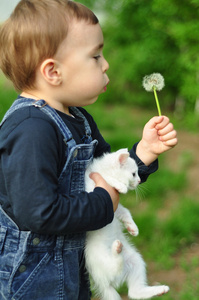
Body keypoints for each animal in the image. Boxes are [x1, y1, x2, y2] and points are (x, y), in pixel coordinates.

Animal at [84, 149, 170, 300]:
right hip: (102, 260)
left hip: (135, 261)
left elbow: (126, 212)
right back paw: (116, 249)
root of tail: (105, 284)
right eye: (134, 174)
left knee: (134, 292)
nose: (139, 180)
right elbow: (108, 181)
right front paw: (120, 186)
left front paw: (133, 228)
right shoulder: (90, 190)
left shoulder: (114, 207)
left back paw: (160, 289)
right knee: (115, 267)